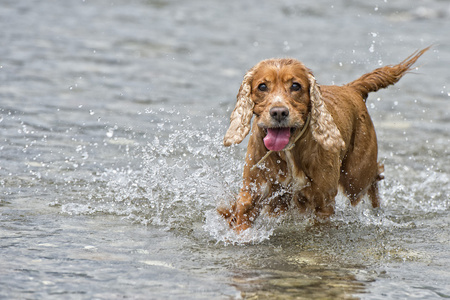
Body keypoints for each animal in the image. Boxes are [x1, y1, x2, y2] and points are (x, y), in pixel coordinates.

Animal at [220, 48, 430, 233]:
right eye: (262, 86)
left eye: (295, 86)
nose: (279, 112)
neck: (290, 150)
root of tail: (351, 88)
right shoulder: (252, 191)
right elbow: (241, 218)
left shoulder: (322, 201)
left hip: (356, 175)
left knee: (374, 175)